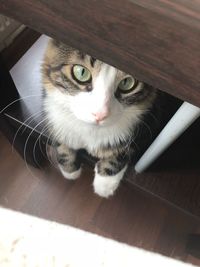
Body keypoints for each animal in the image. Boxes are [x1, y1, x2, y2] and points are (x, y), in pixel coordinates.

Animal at [41, 39, 157, 199]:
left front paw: (104, 185)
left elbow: (123, 151)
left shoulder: (145, 128)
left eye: (127, 82)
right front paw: (70, 171)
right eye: (81, 72)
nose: (100, 114)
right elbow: (60, 139)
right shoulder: (51, 112)